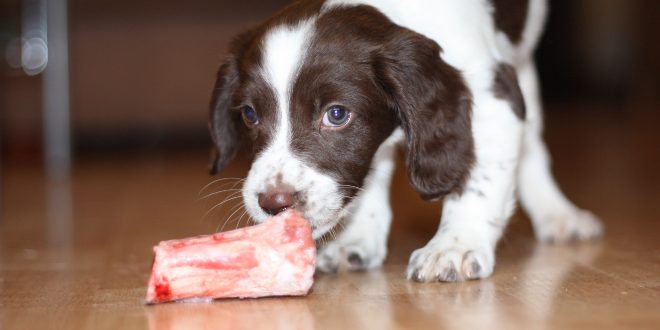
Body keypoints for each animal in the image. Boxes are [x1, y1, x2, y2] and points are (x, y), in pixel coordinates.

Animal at [208, 0, 604, 284]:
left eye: (336, 114)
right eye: (249, 114)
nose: (273, 204)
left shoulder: (494, 95)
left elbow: (478, 179)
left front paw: (455, 245)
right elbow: (373, 172)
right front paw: (357, 240)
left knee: (532, 141)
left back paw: (558, 215)